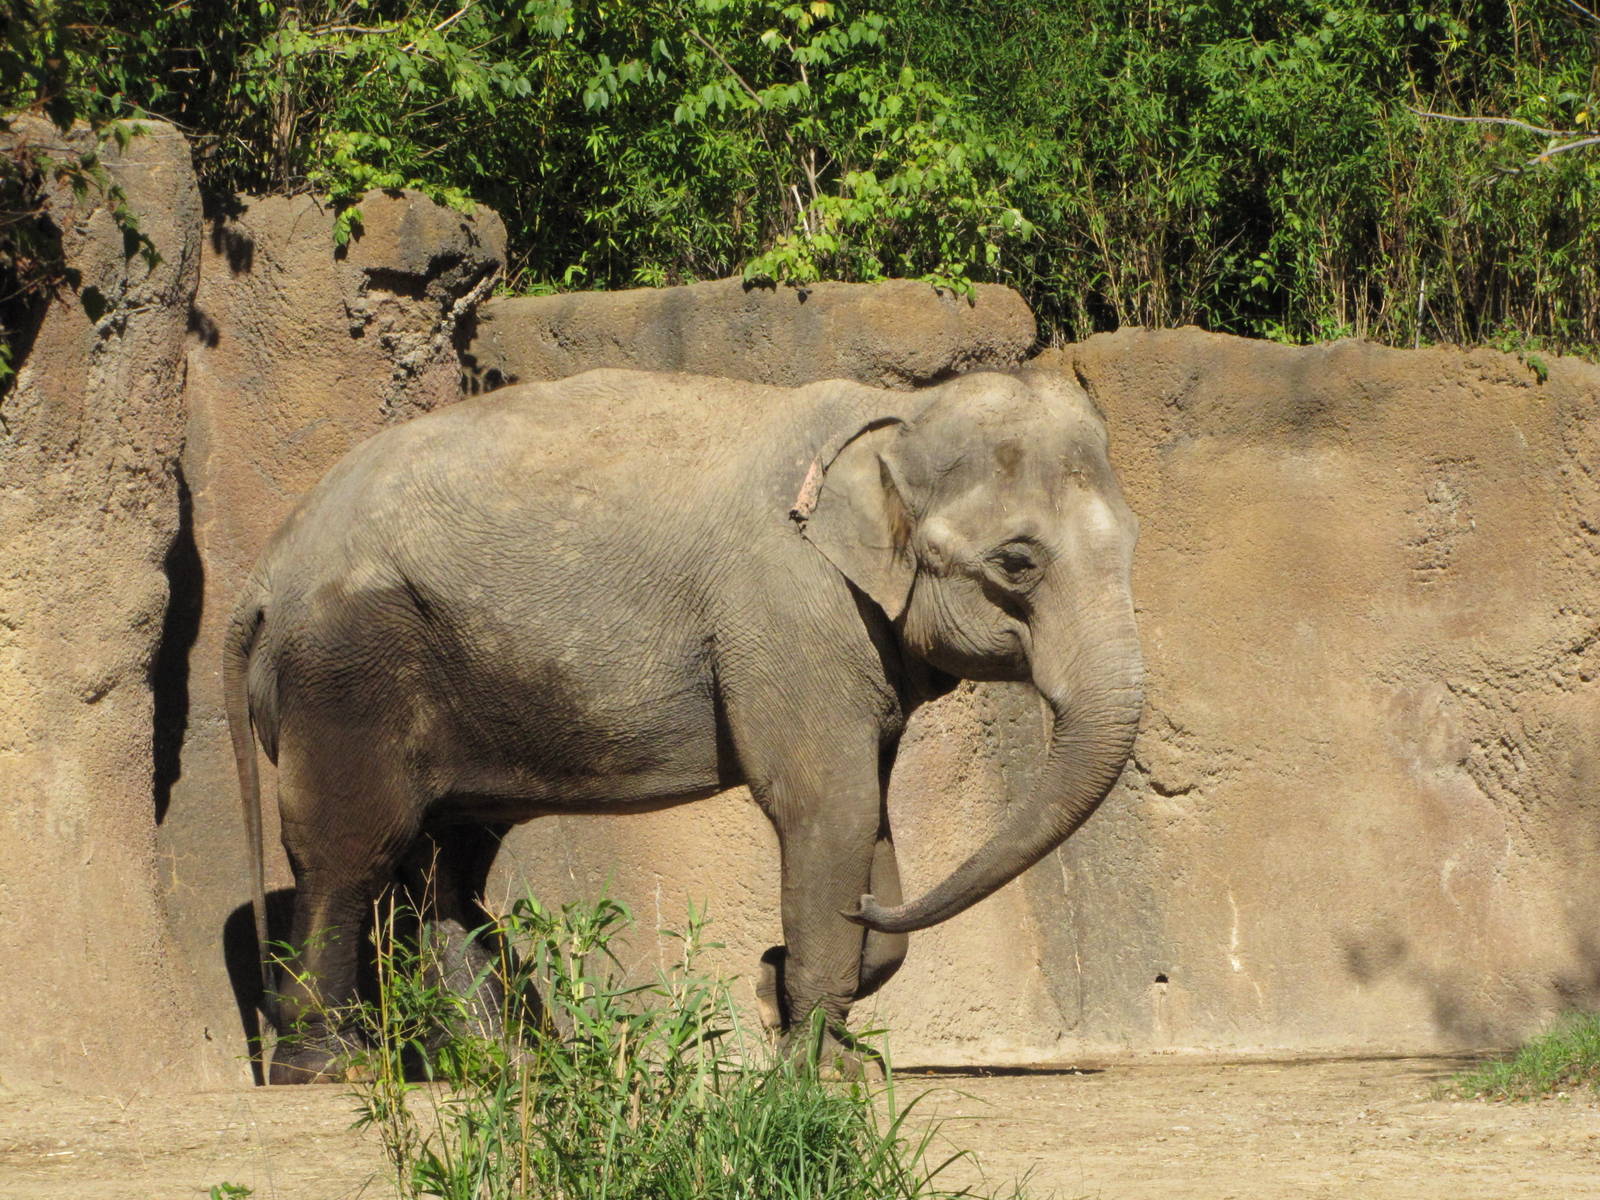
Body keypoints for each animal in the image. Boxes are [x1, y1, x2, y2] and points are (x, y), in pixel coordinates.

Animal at [226, 365, 1144, 1084]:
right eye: (1016, 563)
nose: (765, 970)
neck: (894, 410)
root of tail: (262, 576)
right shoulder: (791, 608)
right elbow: (828, 806)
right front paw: (820, 1066)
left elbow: (866, 814)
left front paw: (803, 1009)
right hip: (344, 669)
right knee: (352, 848)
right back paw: (331, 1067)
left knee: (444, 863)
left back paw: (511, 1066)